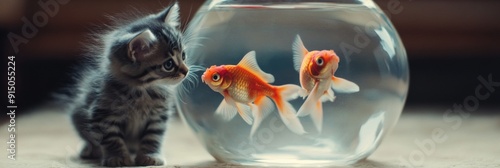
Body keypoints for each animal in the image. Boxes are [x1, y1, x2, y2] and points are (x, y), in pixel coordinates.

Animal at [69, 2, 188, 167]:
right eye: (168, 64)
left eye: (183, 55)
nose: (186, 71)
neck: (142, 91)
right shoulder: (103, 114)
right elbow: (112, 139)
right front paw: (117, 157)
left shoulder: (158, 116)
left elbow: (153, 136)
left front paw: (150, 156)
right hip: (77, 113)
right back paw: (90, 149)